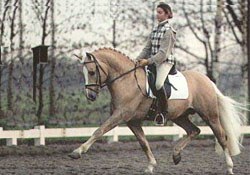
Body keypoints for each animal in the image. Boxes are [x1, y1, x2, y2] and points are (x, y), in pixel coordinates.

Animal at [68, 47, 246, 174]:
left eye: (92, 72)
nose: (90, 96)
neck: (126, 80)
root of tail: (208, 81)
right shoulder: (132, 121)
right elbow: (143, 142)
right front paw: (151, 166)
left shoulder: (120, 115)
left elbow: (99, 131)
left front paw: (77, 152)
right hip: (179, 116)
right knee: (194, 130)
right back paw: (176, 155)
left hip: (210, 115)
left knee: (221, 136)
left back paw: (229, 167)